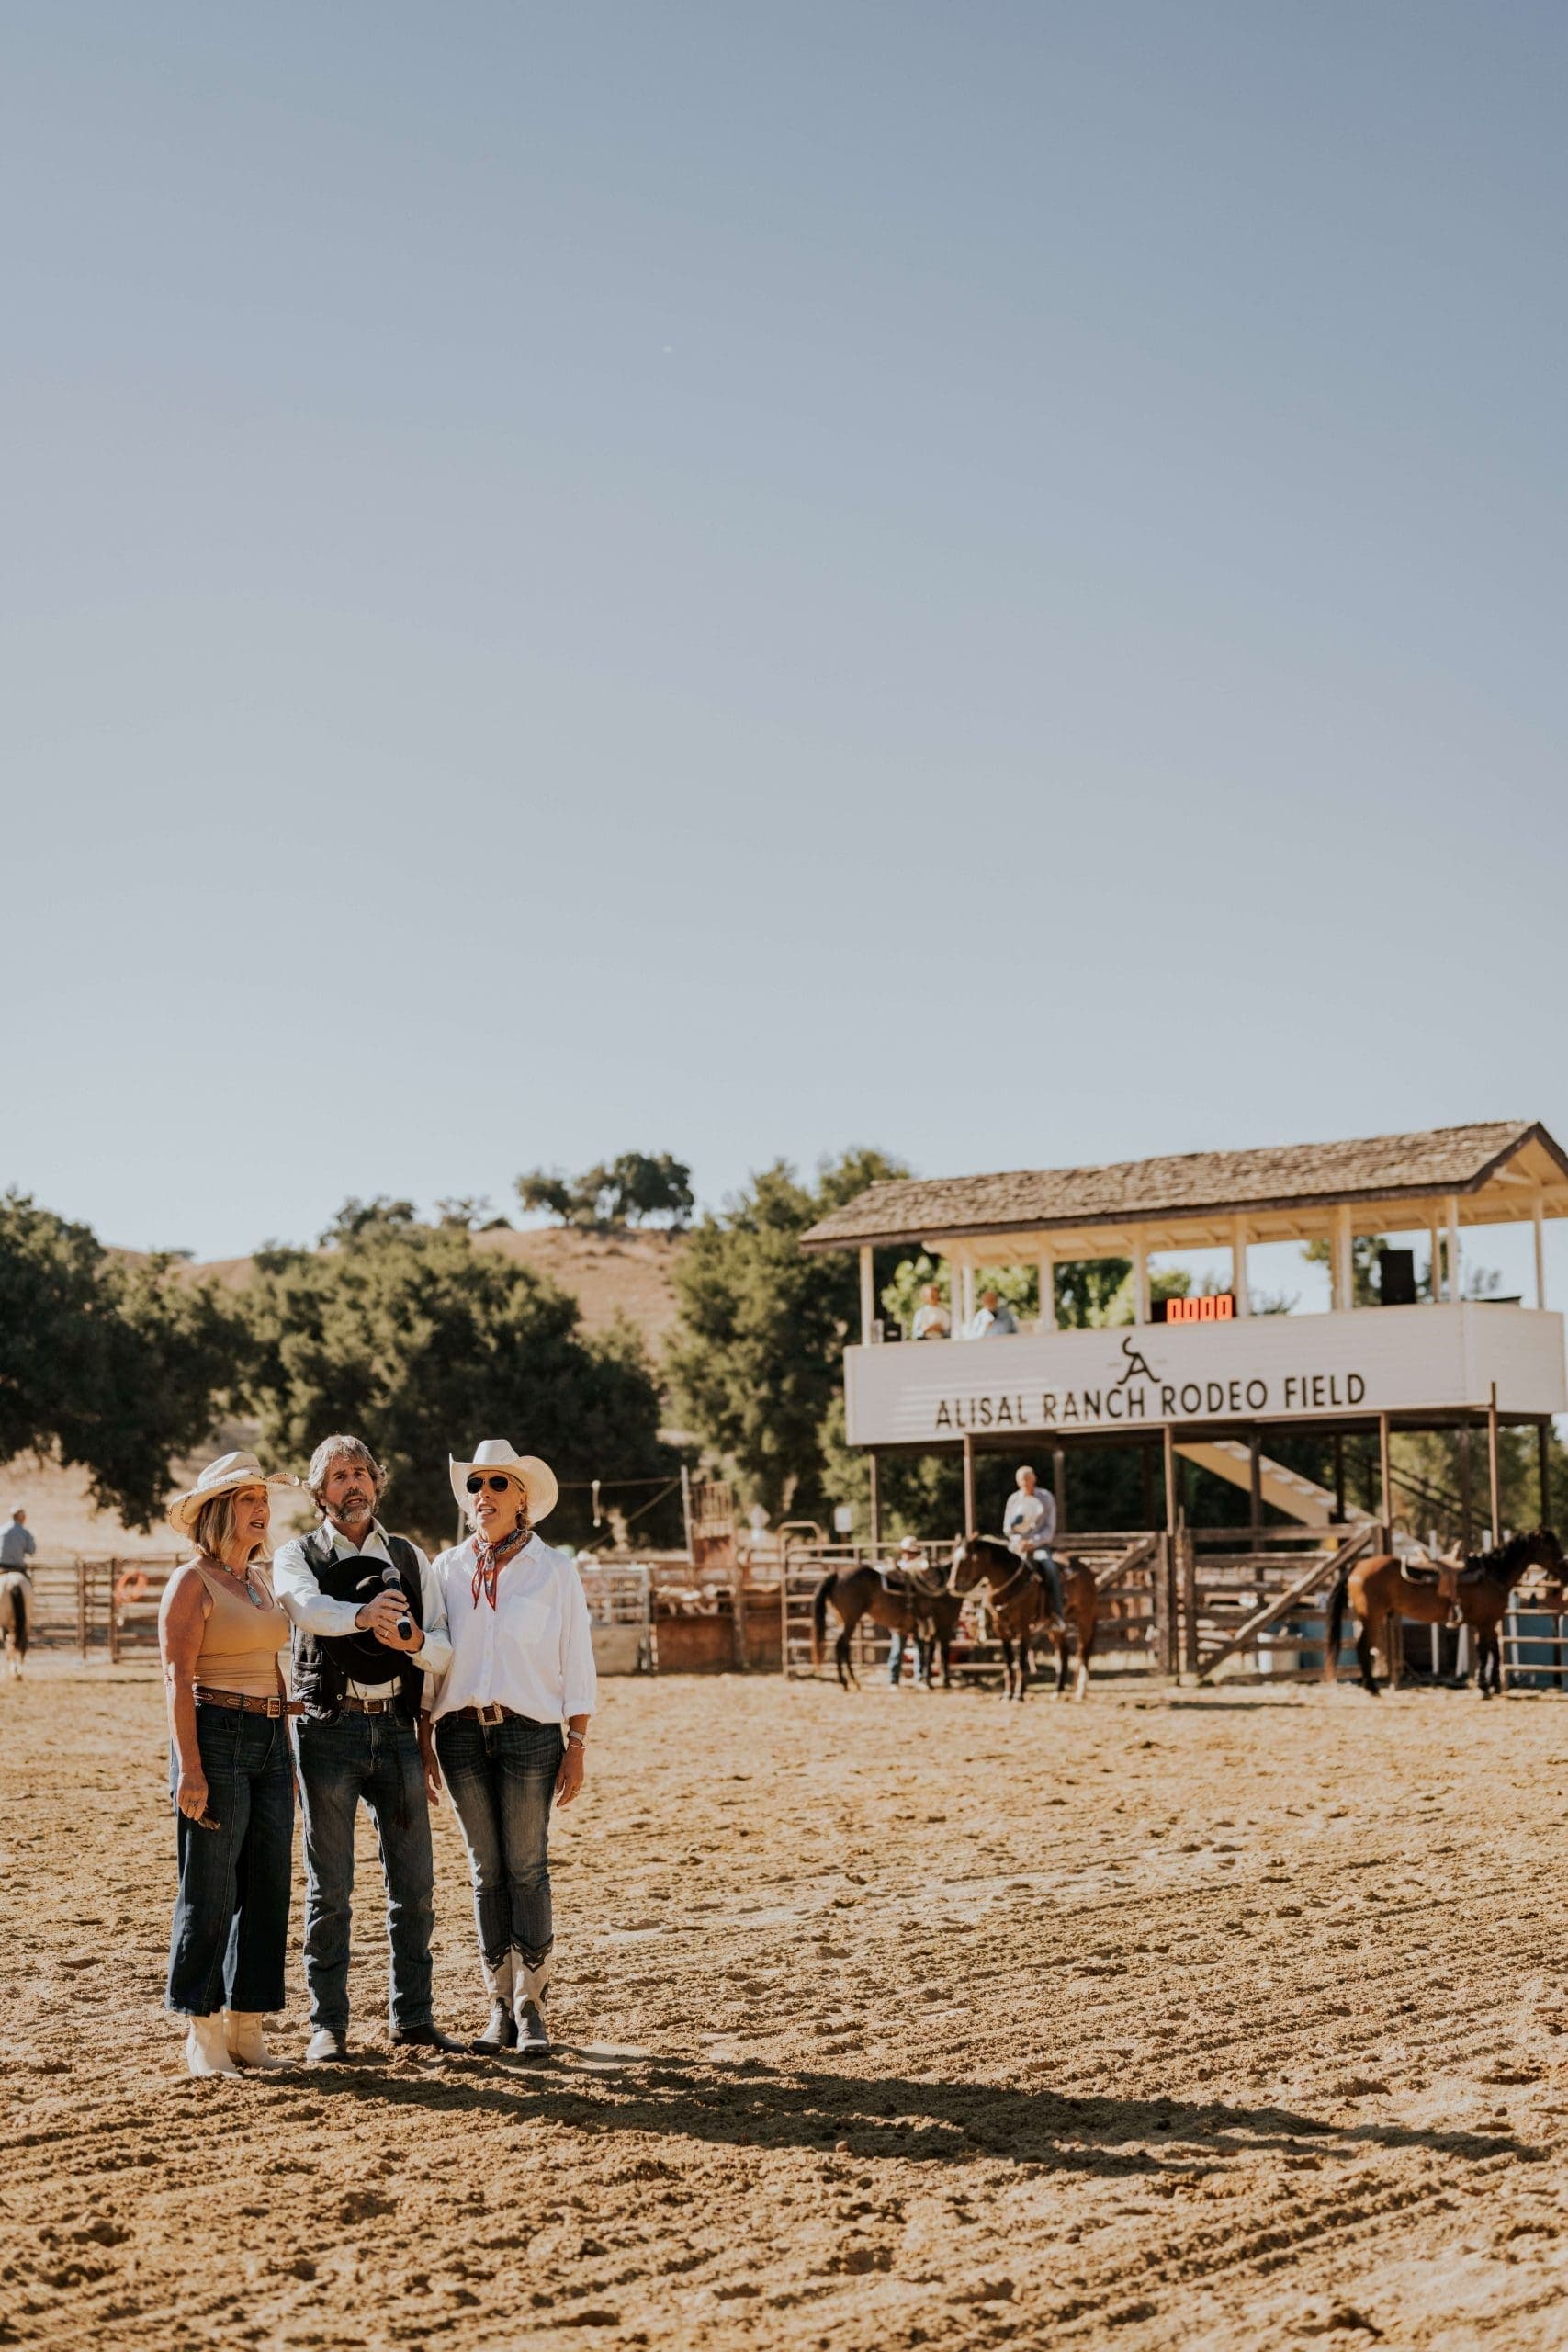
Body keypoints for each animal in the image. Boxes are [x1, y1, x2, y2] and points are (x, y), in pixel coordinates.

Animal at [808, 1561, 968, 1693]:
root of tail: (836, 1575)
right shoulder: (943, 1626)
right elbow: (939, 1653)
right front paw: (941, 1681)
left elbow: (927, 1652)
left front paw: (928, 1681)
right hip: (850, 1620)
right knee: (841, 1645)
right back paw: (847, 1682)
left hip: (842, 1620)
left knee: (843, 1646)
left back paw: (852, 1681)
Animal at [944, 1533, 1104, 1702]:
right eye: (952, 1558)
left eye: (964, 1560)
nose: (952, 1585)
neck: (1009, 1584)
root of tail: (1087, 1570)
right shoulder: (1000, 1629)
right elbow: (1009, 1662)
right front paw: (1007, 1694)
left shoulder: (1023, 1627)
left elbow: (1021, 1661)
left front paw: (1018, 1694)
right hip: (1054, 1628)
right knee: (1063, 1653)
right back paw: (1057, 1691)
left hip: (1085, 1619)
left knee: (1082, 1653)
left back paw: (1080, 1691)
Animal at [1335, 1523, 1561, 1693]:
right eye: (1551, 1546)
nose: (1564, 1565)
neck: (1491, 1575)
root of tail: (1357, 1566)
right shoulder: (1485, 1623)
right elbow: (1485, 1651)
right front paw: (1484, 1686)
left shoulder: (1487, 1622)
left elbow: (1494, 1650)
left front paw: (1495, 1684)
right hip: (1372, 1617)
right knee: (1363, 1646)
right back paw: (1372, 1687)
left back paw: (1369, 1686)